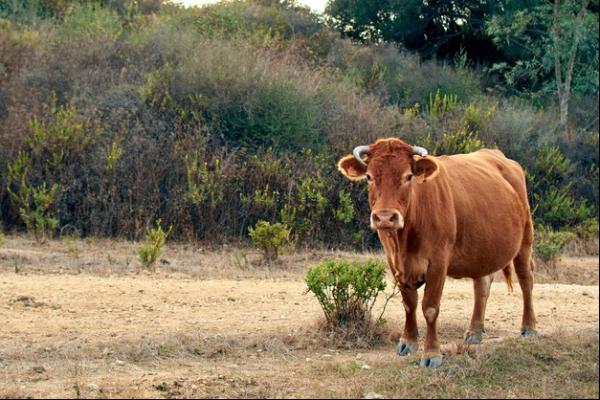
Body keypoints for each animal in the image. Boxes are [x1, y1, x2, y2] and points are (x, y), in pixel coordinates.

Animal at [336, 138, 536, 368]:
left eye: (408, 176)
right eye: (369, 177)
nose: (385, 218)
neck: (404, 241)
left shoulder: (438, 263)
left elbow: (430, 308)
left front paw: (432, 353)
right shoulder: (394, 263)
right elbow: (409, 304)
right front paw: (408, 342)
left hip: (525, 241)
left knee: (526, 280)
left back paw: (529, 327)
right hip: (482, 249)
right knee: (482, 286)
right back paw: (475, 331)